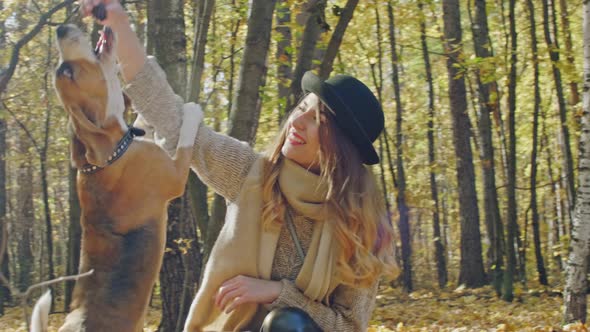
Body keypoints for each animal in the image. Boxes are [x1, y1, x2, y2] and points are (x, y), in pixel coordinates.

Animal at [31, 24, 204, 330]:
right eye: (68, 72)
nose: (61, 28)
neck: (112, 155)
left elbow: (140, 122)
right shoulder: (174, 175)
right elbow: (185, 140)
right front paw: (192, 111)